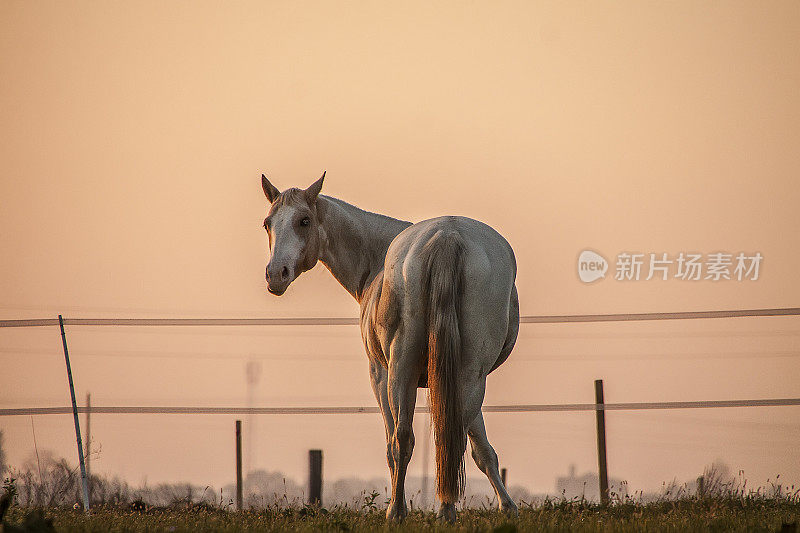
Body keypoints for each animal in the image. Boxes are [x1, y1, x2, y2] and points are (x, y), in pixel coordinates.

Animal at [258, 171, 520, 520]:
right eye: (268, 223)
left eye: (304, 220)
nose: (276, 274)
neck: (376, 260)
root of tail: (447, 236)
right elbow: (481, 449)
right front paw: (508, 506)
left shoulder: (378, 375)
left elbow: (393, 444)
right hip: (468, 376)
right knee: (451, 439)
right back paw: (446, 510)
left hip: (399, 371)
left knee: (402, 440)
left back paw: (396, 511)